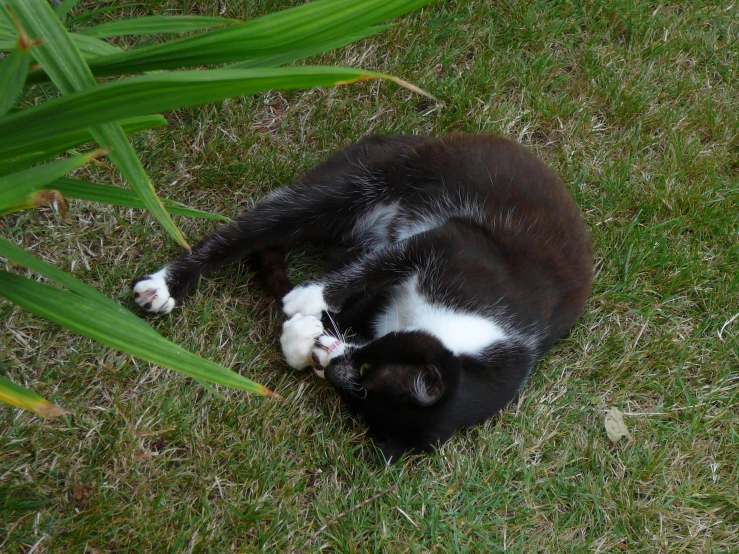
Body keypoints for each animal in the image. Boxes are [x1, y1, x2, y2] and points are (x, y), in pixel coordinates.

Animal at [132, 135, 596, 462]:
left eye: (357, 399)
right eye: (366, 372)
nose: (329, 365)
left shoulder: (380, 310)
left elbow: (350, 303)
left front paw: (304, 339)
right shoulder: (458, 243)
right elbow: (384, 264)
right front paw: (307, 301)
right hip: (364, 178)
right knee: (253, 228)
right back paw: (165, 285)